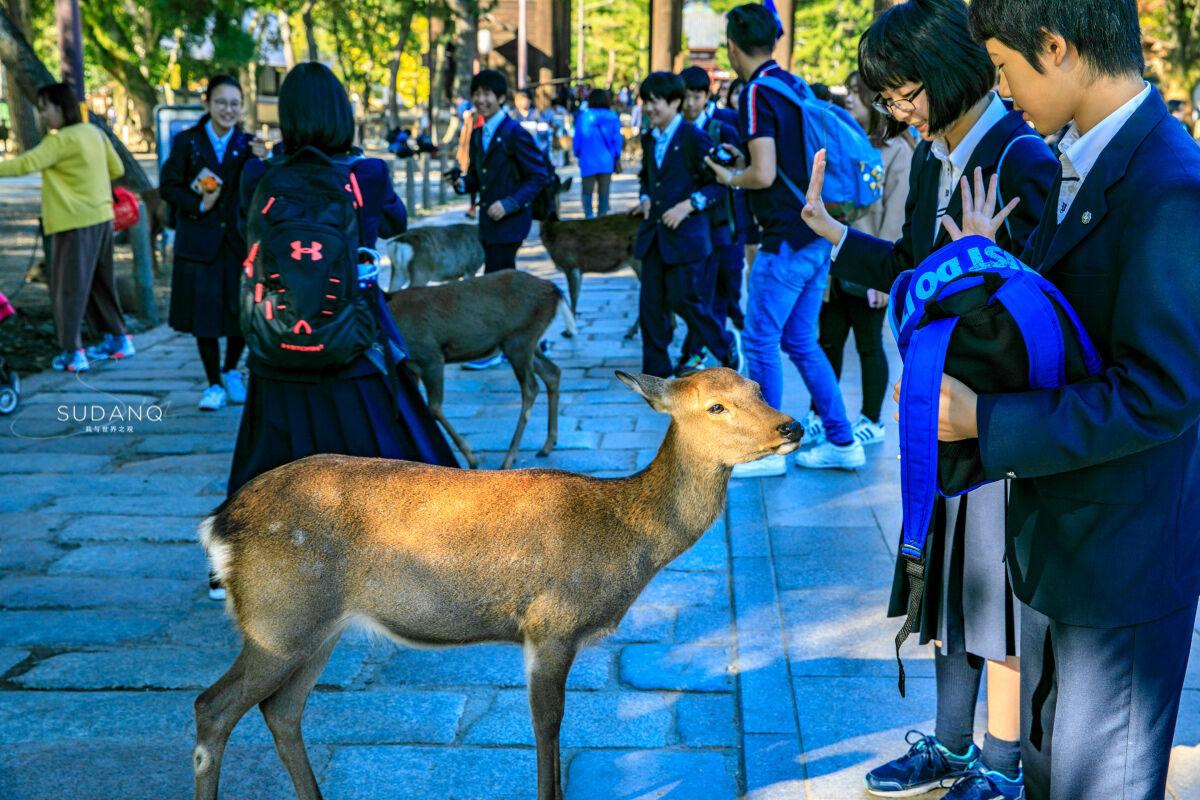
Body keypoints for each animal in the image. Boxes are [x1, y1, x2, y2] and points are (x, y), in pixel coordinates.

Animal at [192, 367, 801, 800]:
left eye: (757, 387)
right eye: (715, 406)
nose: (791, 426)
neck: (624, 537)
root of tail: (217, 525)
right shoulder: (550, 624)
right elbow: (547, 723)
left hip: (316, 628)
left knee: (281, 710)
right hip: (278, 619)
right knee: (212, 706)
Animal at [384, 268, 571, 470]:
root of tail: (554, 291)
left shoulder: (430, 356)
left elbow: (434, 407)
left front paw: (471, 459)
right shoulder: (412, 367)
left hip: (519, 339)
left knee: (531, 388)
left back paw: (508, 459)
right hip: (525, 343)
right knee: (552, 372)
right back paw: (547, 445)